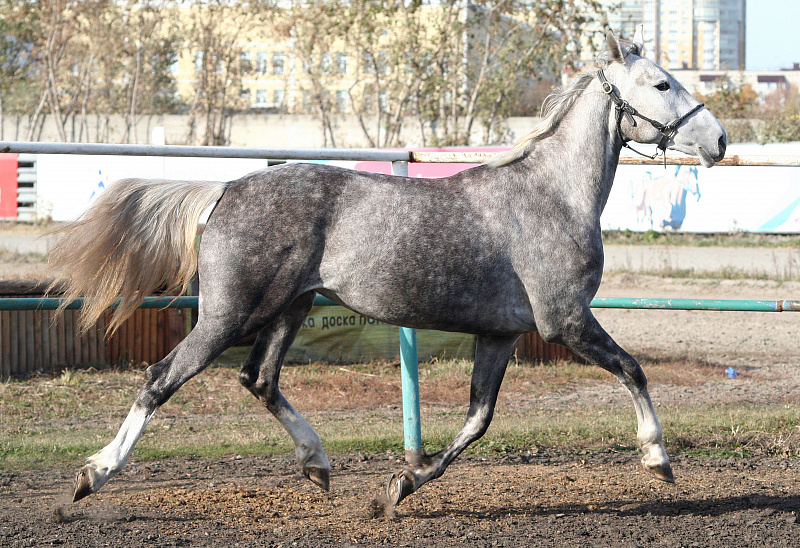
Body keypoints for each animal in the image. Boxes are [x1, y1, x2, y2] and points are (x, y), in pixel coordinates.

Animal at [49, 27, 726, 507]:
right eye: (661, 84)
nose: (718, 140)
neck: (551, 194)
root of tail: (225, 190)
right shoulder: (566, 322)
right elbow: (633, 370)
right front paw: (658, 460)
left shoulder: (502, 334)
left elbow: (478, 420)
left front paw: (402, 485)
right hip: (230, 313)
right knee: (163, 377)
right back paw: (93, 475)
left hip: (292, 307)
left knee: (258, 378)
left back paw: (319, 466)